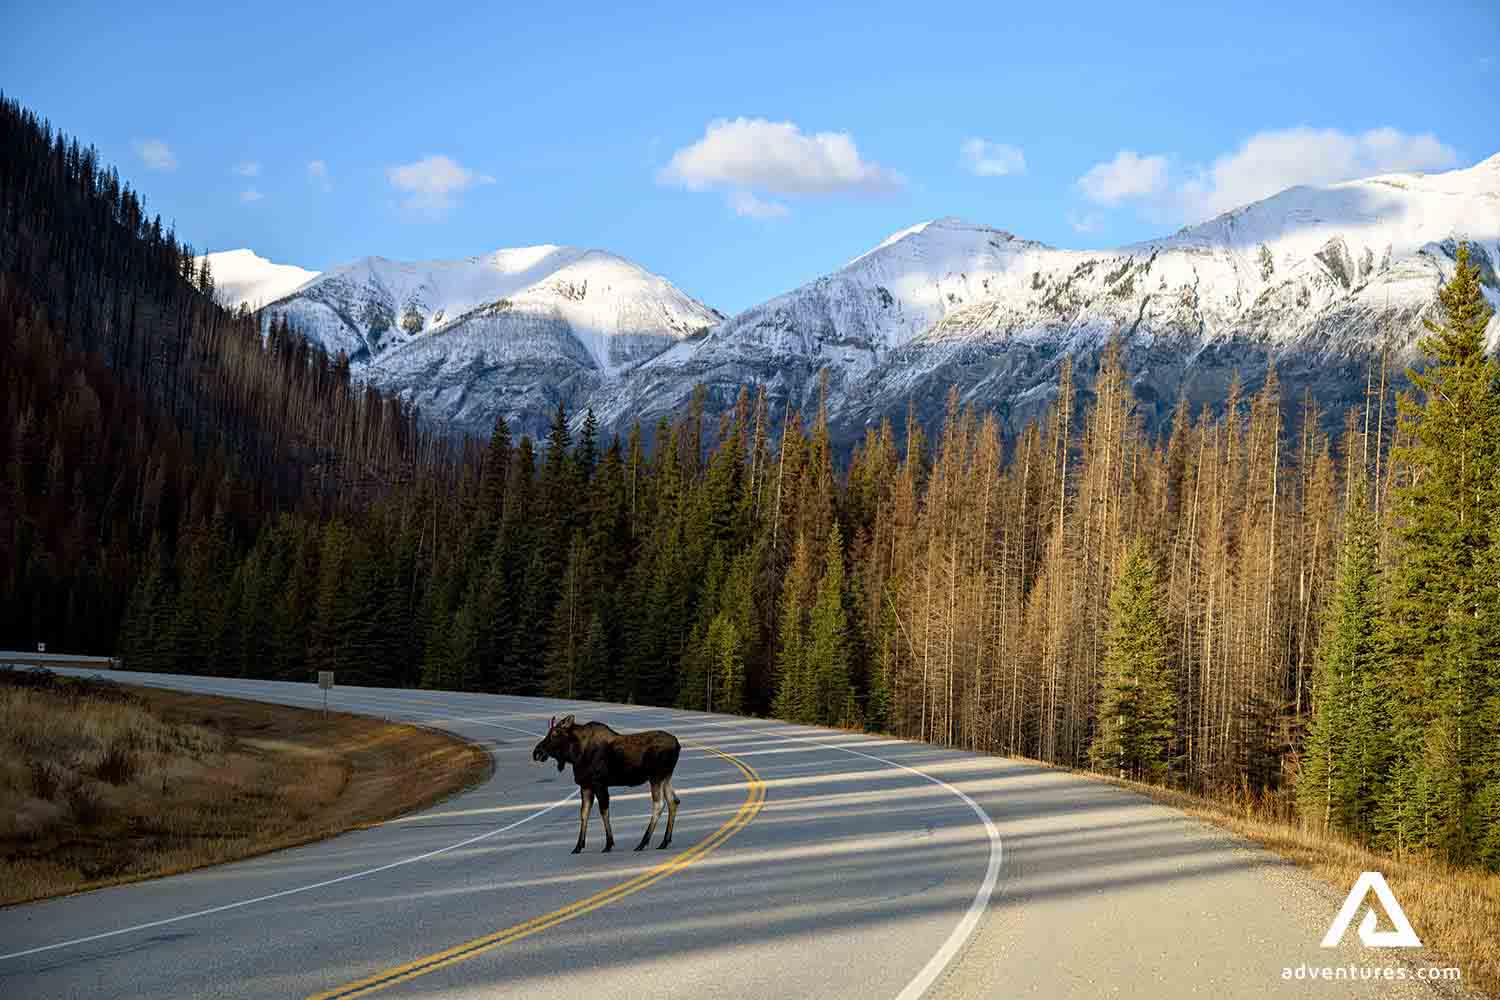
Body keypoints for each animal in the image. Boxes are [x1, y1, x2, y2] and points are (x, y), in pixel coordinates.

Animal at [532, 714, 682, 853]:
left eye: (555, 733)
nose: (537, 752)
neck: (575, 755)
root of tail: (678, 745)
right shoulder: (586, 786)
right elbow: (584, 813)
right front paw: (578, 846)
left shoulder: (599, 784)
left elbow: (603, 811)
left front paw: (608, 844)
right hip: (666, 777)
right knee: (673, 801)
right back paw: (664, 841)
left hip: (656, 777)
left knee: (659, 804)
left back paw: (642, 843)